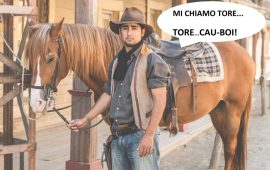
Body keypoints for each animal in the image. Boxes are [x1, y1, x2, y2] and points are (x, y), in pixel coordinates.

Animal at [25, 19, 255, 169]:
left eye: (50, 58)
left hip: (233, 111)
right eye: (30, 56)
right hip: (218, 111)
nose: (36, 103)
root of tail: (245, 54)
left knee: (231, 149)